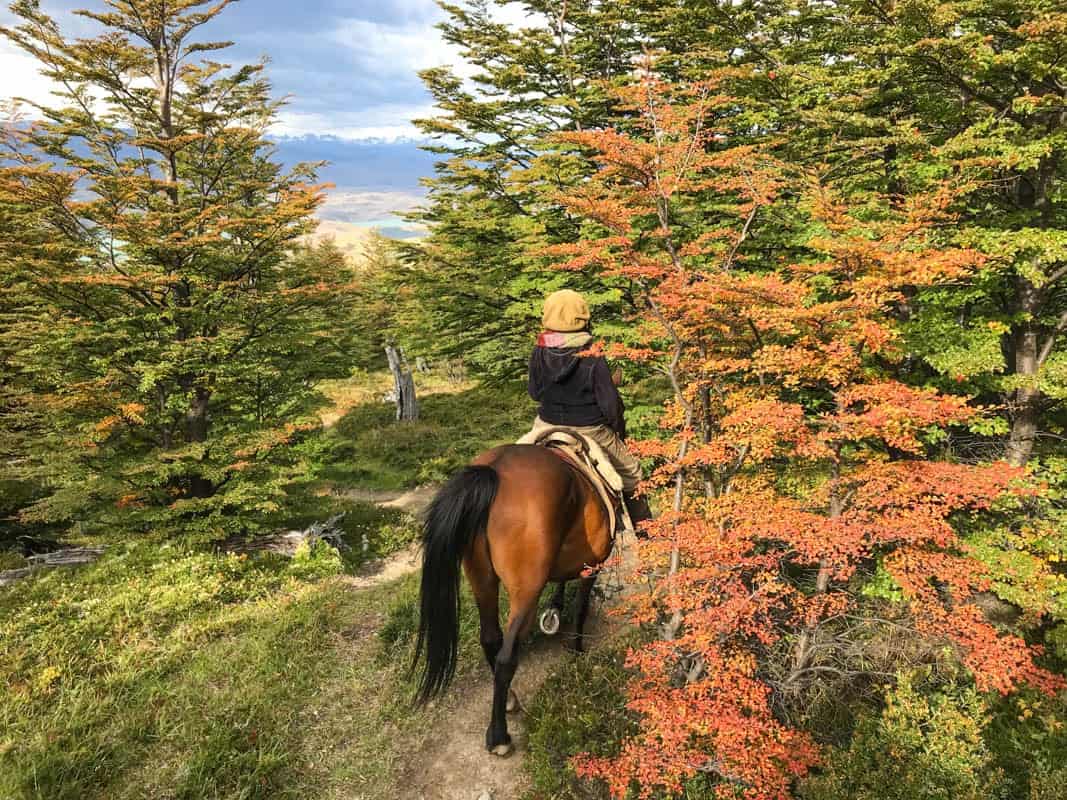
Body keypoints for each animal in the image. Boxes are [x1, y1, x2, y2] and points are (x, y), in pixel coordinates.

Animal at [416, 445, 618, 759]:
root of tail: (494, 470)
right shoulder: (591, 566)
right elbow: (581, 608)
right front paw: (577, 650)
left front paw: (556, 608)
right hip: (525, 589)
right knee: (506, 657)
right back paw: (499, 736)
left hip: (481, 579)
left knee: (489, 639)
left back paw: (509, 700)